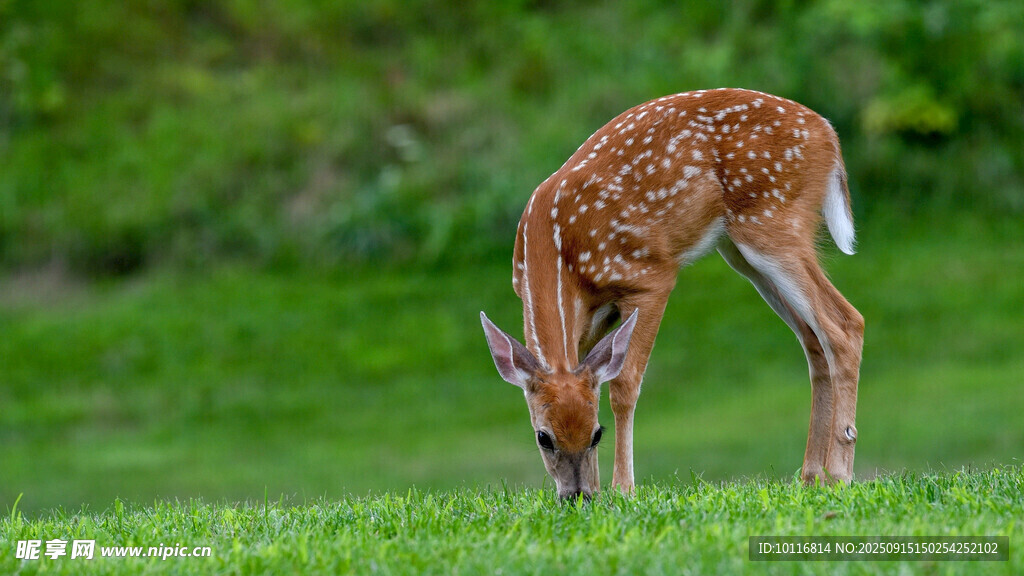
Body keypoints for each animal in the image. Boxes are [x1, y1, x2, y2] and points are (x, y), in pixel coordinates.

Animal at [480, 88, 864, 500]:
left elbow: (624, 386)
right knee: (813, 339)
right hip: (742, 252)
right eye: (543, 437)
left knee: (845, 324)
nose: (577, 495)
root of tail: (829, 135)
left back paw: (839, 472)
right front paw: (602, 488)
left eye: (596, 434)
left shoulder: (649, 277)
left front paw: (623, 488)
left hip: (772, 223)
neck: (558, 254)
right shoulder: (592, 320)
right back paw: (811, 475)